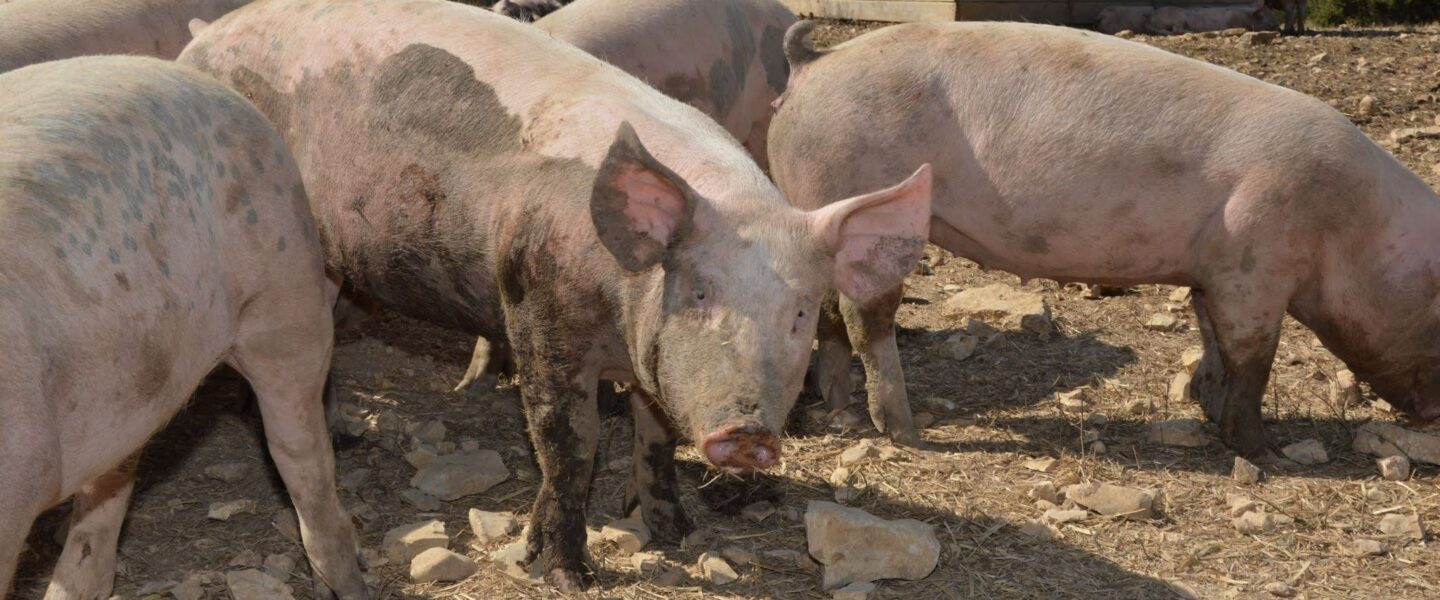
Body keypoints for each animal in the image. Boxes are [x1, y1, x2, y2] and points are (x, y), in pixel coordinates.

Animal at [178, 0, 930, 590]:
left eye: (799, 312)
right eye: (698, 293)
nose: (746, 433)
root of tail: (202, 37)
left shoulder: (647, 357)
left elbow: (655, 439)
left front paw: (676, 533)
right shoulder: (538, 310)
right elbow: (569, 445)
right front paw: (569, 573)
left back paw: (348, 436)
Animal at [770, 21, 1440, 461]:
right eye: (1436, 310)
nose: (1435, 414)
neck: (1351, 223)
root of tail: (812, 65)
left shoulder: (1213, 270)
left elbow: (1214, 341)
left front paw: (1205, 407)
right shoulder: (1256, 264)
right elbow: (1254, 359)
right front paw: (1266, 455)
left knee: (828, 311)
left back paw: (840, 411)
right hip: (872, 202)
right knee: (867, 317)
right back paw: (907, 432)